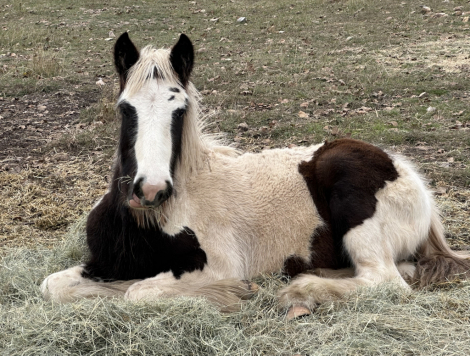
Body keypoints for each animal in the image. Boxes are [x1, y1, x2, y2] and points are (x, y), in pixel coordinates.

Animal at [41, 32, 470, 318]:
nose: (150, 189)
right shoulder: (106, 262)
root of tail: (406, 173)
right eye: (125, 108)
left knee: (385, 280)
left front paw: (238, 291)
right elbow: (52, 285)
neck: (150, 221)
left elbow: (139, 293)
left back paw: (302, 289)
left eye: (180, 110)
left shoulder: (217, 265)